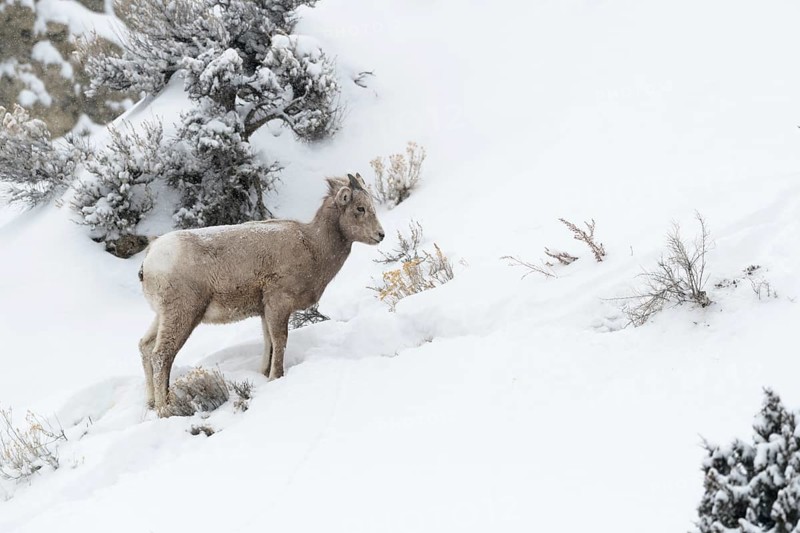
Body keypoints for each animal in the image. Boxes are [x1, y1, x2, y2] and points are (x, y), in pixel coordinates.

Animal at [138, 174, 384, 416]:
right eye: (360, 208)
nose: (380, 235)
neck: (313, 247)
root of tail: (149, 260)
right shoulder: (279, 304)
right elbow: (280, 340)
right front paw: (276, 376)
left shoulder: (265, 311)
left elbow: (269, 343)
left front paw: (265, 374)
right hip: (183, 314)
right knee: (161, 356)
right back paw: (165, 409)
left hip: (163, 316)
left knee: (145, 346)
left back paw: (150, 404)